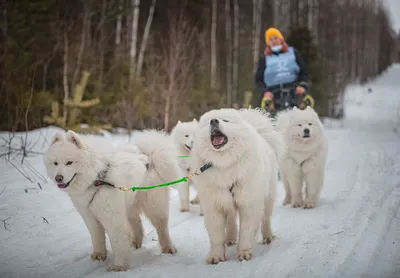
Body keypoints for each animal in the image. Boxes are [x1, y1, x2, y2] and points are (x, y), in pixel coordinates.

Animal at [43, 130, 180, 272]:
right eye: (55, 163)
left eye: (69, 162)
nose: (58, 178)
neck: (97, 179)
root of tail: (149, 156)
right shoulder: (90, 216)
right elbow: (97, 237)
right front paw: (99, 256)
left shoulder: (112, 218)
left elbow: (117, 242)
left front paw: (118, 266)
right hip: (128, 206)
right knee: (137, 223)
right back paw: (135, 243)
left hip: (153, 205)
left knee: (161, 227)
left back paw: (168, 248)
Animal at [190, 107, 284, 264]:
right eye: (208, 122)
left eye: (226, 120)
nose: (214, 121)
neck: (225, 164)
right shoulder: (214, 206)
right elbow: (216, 236)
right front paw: (216, 256)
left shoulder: (248, 204)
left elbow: (246, 232)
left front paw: (244, 253)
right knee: (232, 220)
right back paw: (230, 238)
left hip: (268, 196)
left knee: (265, 219)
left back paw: (267, 237)